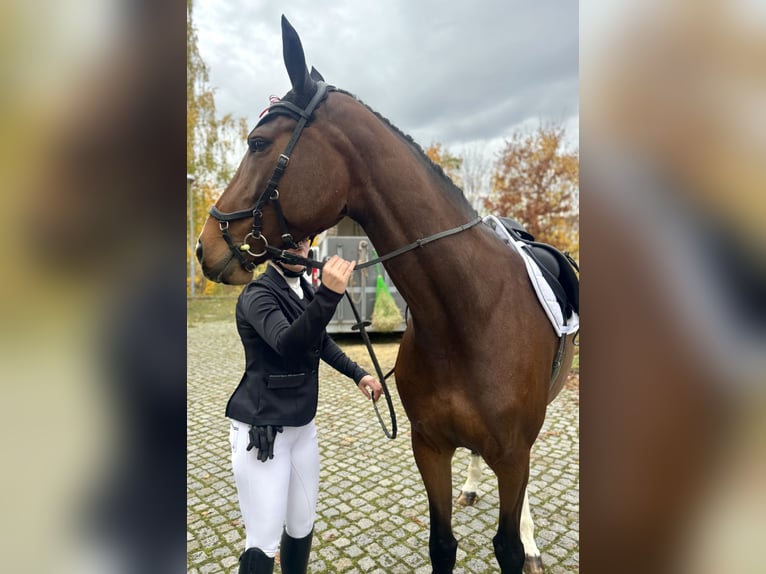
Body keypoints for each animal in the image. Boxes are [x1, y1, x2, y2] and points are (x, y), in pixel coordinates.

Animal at [196, 16, 576, 574]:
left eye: (259, 143)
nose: (206, 245)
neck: (468, 316)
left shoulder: (512, 454)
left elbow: (505, 543)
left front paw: (521, 543)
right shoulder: (430, 448)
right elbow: (442, 544)